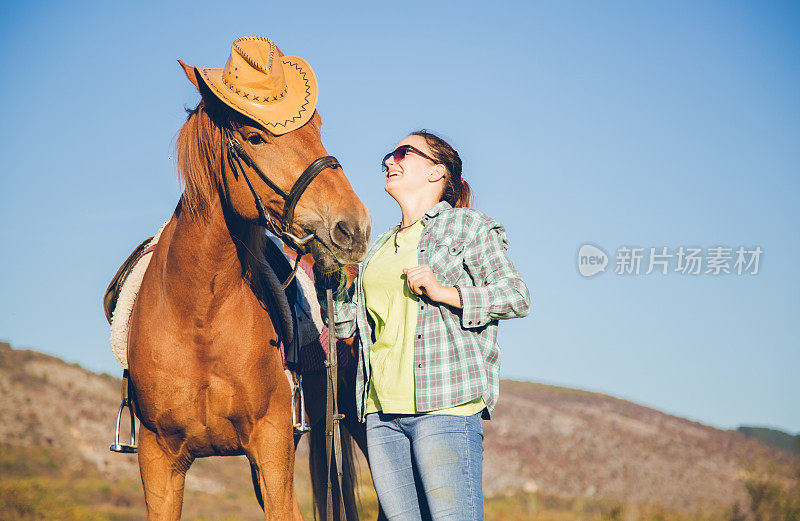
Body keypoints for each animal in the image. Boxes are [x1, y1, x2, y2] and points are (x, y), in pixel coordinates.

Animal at [128, 54, 372, 516]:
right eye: (255, 137)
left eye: (317, 128)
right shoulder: (158, 461)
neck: (198, 316)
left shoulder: (273, 447)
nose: (353, 226)